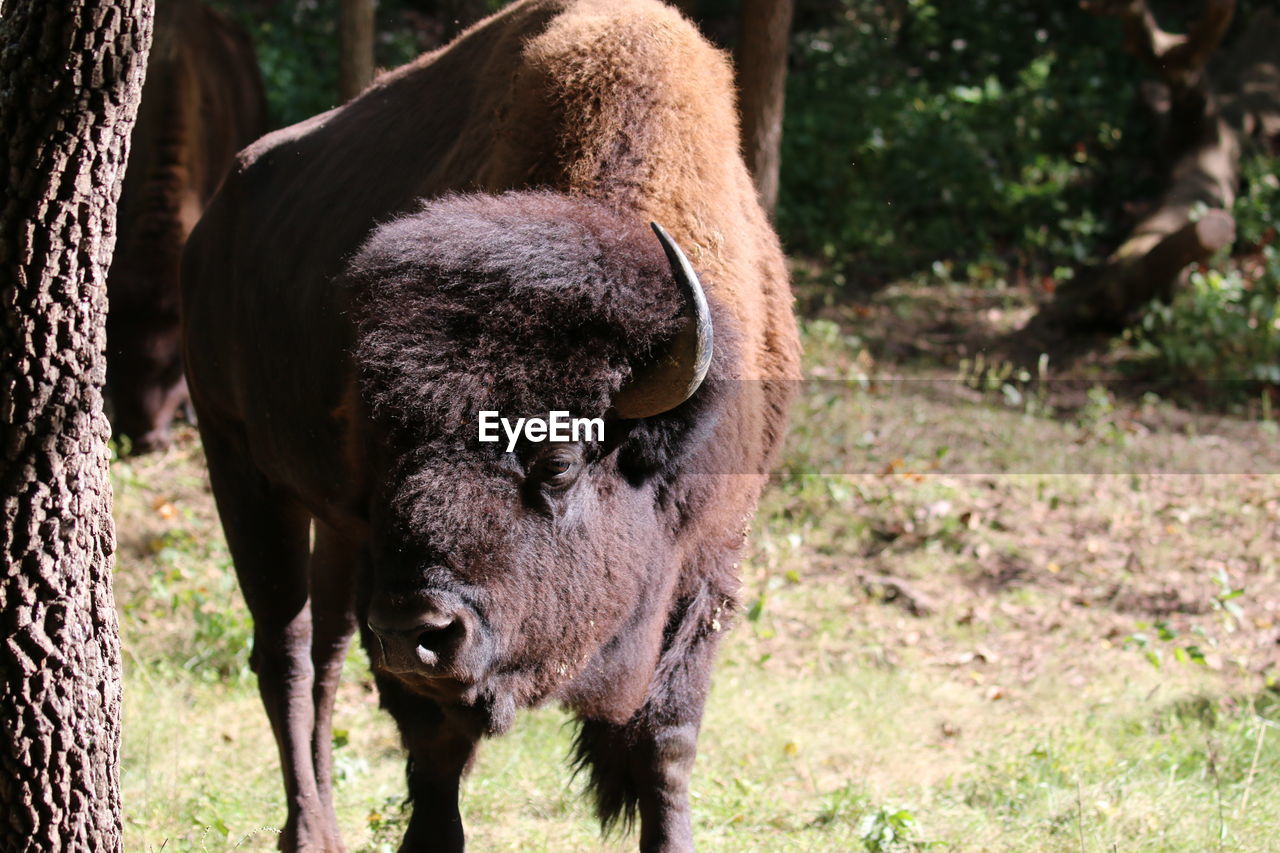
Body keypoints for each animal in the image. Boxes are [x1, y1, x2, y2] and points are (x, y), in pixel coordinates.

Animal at [180, 0, 798, 845]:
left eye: (559, 461)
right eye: (387, 448)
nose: (417, 628)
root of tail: (212, 221)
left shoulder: (708, 564)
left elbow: (667, 744)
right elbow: (436, 749)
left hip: (332, 525)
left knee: (329, 652)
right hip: (241, 464)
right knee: (287, 650)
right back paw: (307, 830)